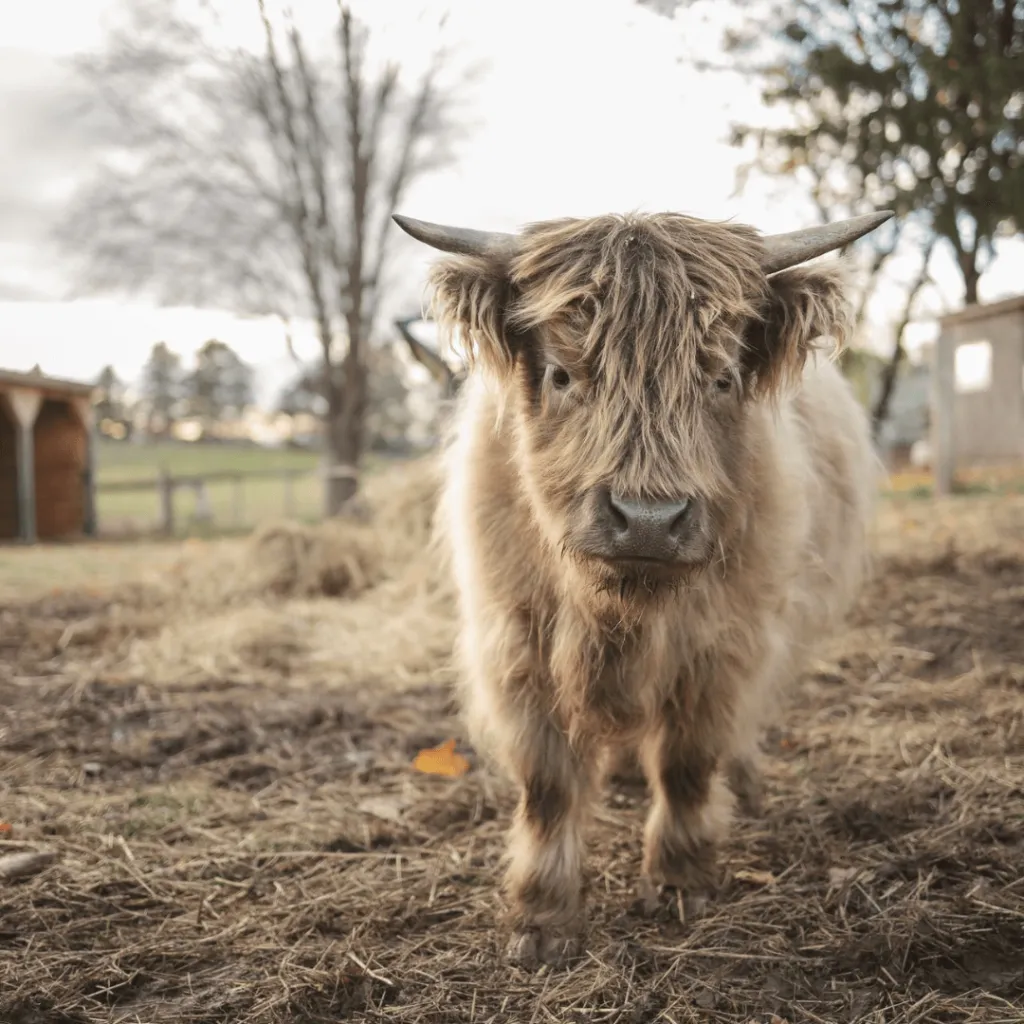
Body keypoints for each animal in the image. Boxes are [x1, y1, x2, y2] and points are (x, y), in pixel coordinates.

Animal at [393, 208, 890, 967]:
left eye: (720, 378)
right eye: (562, 374)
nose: (648, 520)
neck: (616, 610)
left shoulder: (724, 645)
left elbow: (688, 761)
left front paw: (682, 878)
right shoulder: (517, 642)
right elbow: (548, 785)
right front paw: (541, 915)